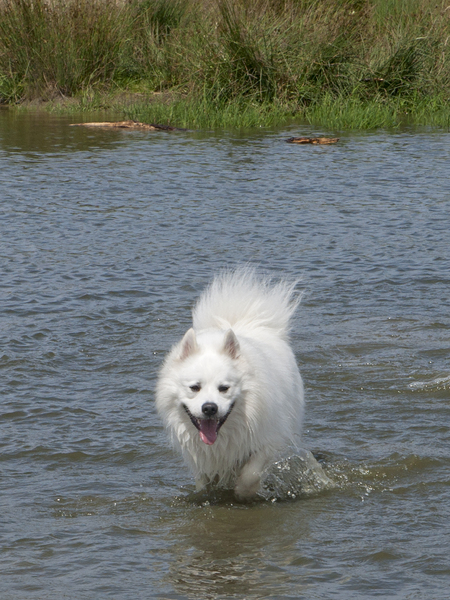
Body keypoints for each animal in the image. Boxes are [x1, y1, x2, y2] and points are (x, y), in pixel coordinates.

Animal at [156, 270, 306, 500]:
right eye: (195, 388)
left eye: (224, 388)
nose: (209, 408)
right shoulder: (200, 455)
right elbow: (203, 482)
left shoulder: (270, 439)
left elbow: (250, 475)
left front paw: (243, 494)